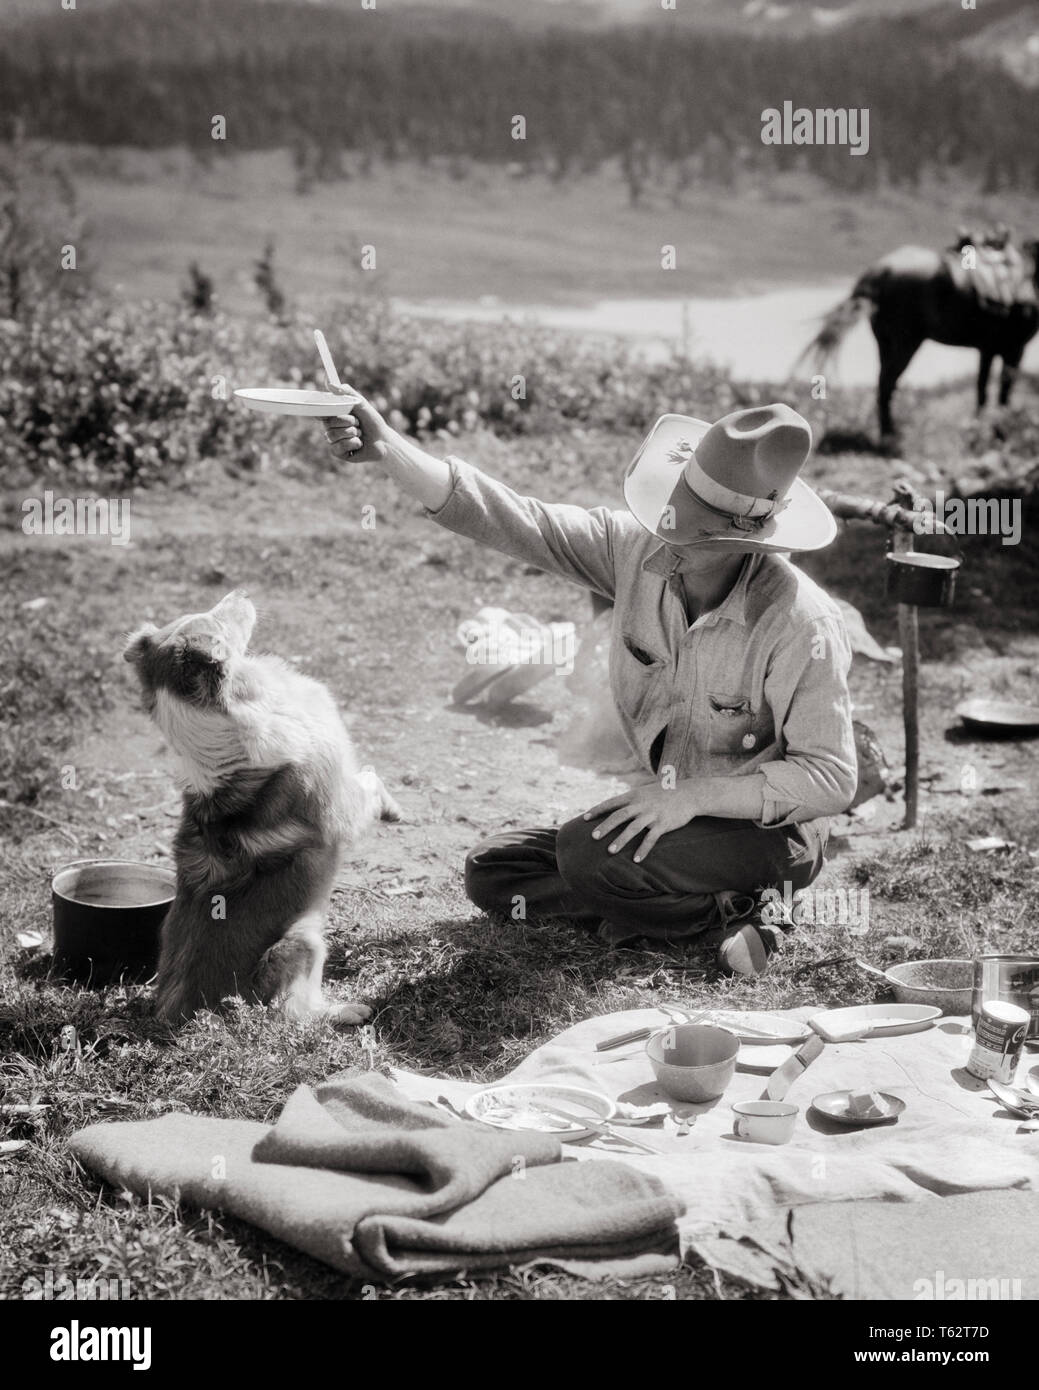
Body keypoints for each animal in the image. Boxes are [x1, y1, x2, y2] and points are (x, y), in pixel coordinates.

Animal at [801, 239, 1034, 442]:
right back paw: (889, 437)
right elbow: (1002, 393)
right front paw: (997, 432)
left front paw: (979, 429)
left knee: (884, 382)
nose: (1024, 302)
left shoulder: (988, 348)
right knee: (887, 382)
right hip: (907, 342)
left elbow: (983, 390)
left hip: (885, 341)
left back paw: (888, 432)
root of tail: (880, 270)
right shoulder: (1014, 348)